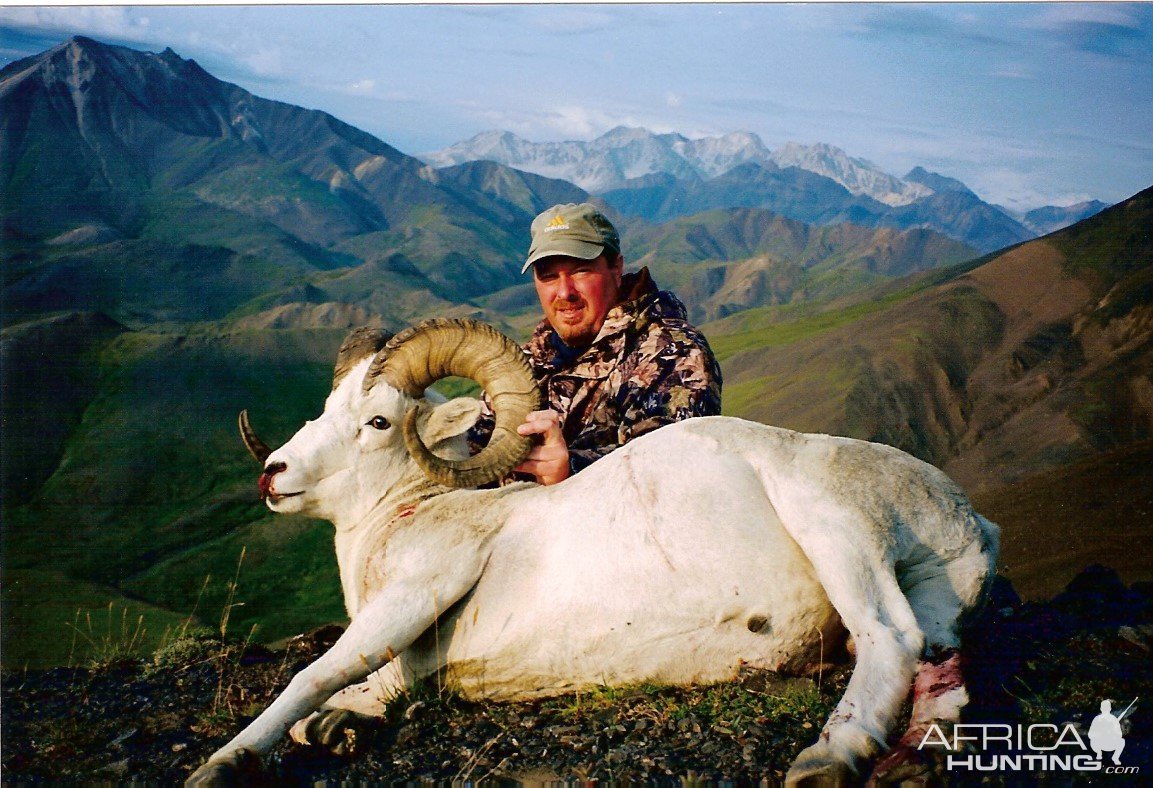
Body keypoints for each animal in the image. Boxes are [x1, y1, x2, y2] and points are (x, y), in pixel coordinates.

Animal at [184, 318, 996, 784]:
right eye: (328, 407)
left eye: (378, 421)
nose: (273, 473)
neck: (412, 514)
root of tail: (965, 516)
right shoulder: (403, 659)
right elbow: (343, 699)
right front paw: (338, 730)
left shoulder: (415, 596)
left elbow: (310, 679)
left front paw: (225, 763)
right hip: (931, 591)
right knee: (940, 665)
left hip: (834, 531)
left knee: (889, 638)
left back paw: (829, 758)